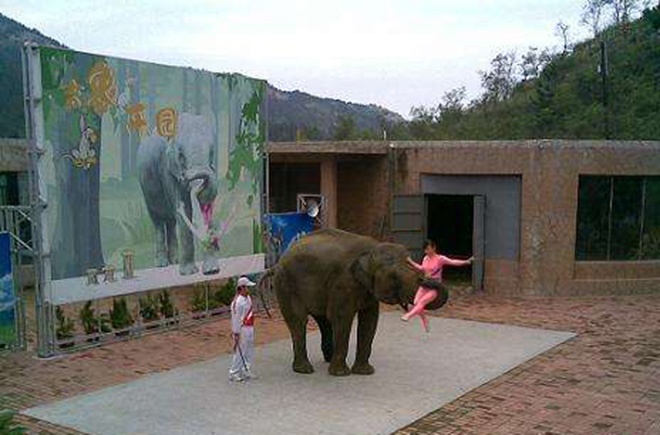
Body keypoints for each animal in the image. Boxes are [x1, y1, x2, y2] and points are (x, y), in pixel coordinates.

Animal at [137, 112, 219, 276]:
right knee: (157, 221)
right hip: (146, 191)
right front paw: (188, 273)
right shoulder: (167, 170)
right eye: (181, 155)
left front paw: (212, 270)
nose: (186, 177)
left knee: (171, 222)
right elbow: (184, 210)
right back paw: (162, 264)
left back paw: (174, 261)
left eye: (212, 152)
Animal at [266, 230, 446, 376]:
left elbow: (369, 320)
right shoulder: (343, 282)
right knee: (299, 321)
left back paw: (327, 359)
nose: (424, 277)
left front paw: (365, 372)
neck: (372, 250)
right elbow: (342, 318)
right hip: (286, 284)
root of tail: (278, 262)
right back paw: (304, 370)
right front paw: (341, 374)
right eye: (393, 277)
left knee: (323, 321)